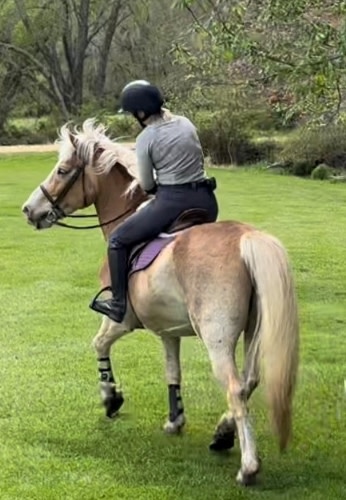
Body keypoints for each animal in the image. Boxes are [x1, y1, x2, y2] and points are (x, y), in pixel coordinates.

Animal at [21, 117, 298, 484]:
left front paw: (111, 398)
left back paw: (248, 466)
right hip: (255, 331)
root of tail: (247, 238)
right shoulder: (168, 331)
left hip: (217, 339)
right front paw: (174, 419)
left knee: (236, 389)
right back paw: (222, 434)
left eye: (63, 170)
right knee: (250, 382)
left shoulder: (120, 321)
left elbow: (99, 344)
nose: (29, 210)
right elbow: (172, 371)